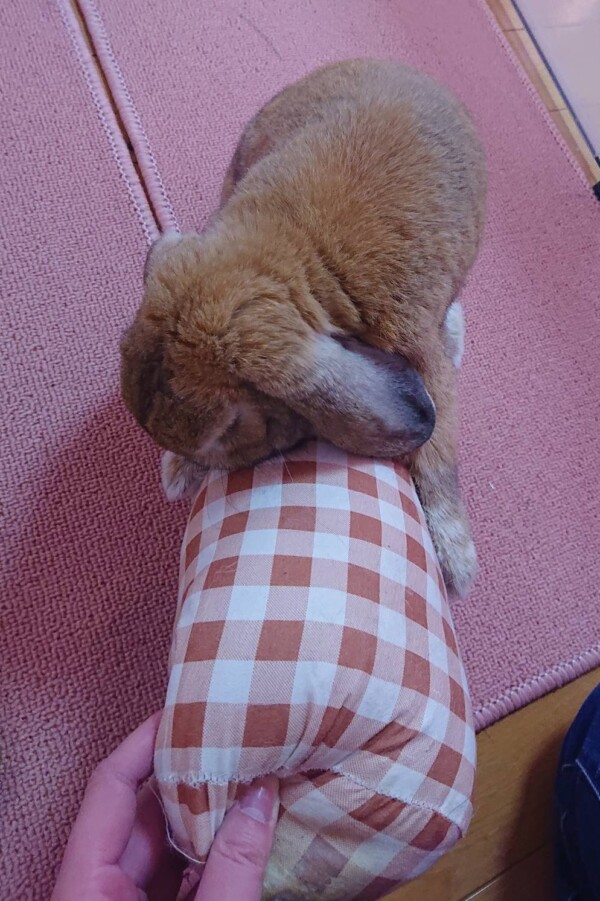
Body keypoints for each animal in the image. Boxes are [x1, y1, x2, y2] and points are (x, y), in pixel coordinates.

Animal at [120, 59, 486, 596]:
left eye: (229, 426)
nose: (192, 461)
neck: (296, 255)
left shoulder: (422, 356)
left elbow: (440, 453)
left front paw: (456, 565)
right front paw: (177, 473)